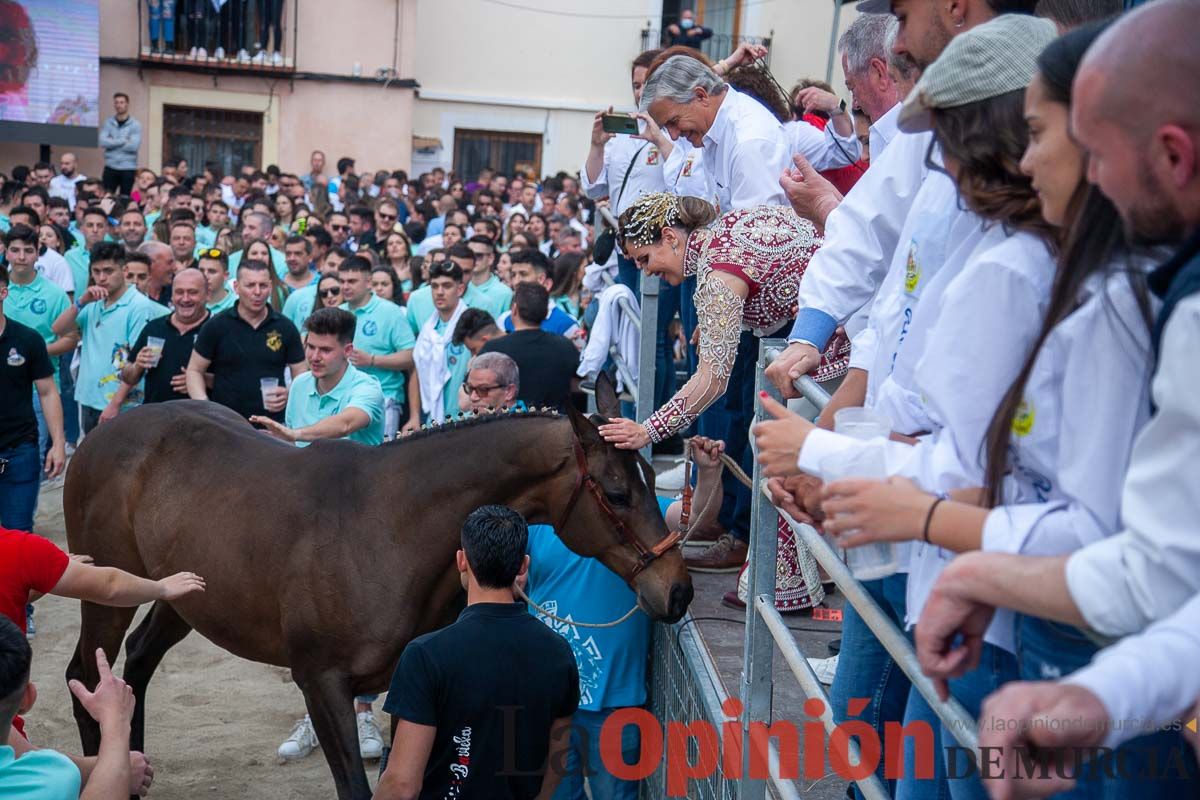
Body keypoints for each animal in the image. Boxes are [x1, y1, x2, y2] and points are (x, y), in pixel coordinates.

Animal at [60, 379, 691, 800]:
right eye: (616, 493)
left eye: (648, 481)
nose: (678, 592)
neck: (387, 526)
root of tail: (103, 432)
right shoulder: (322, 681)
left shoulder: (413, 685)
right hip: (107, 591)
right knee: (88, 675)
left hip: (187, 598)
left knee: (138, 663)